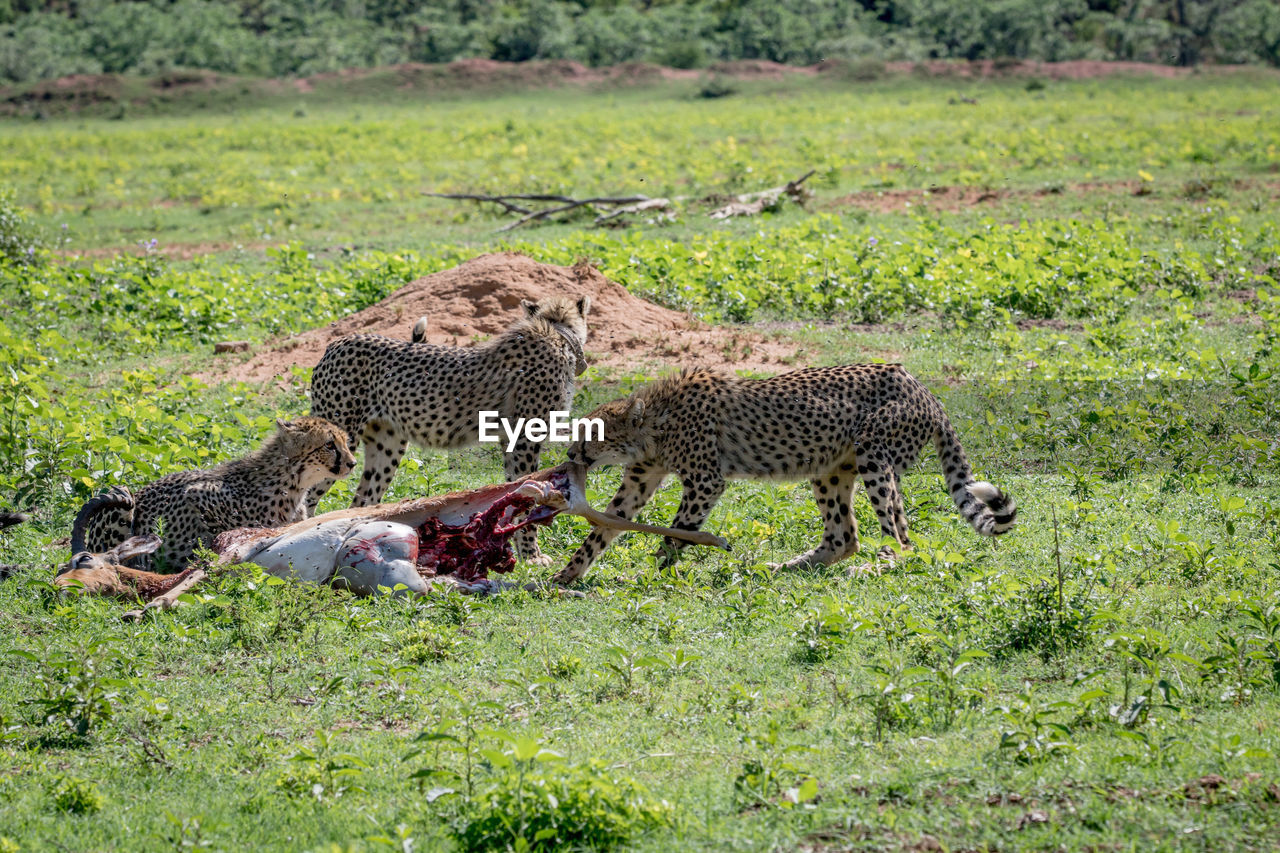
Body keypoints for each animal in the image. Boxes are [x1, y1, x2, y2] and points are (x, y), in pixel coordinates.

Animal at [77, 414, 358, 568]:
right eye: (329, 445)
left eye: (345, 442)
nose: (353, 463)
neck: (293, 481)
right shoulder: (196, 494)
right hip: (121, 504)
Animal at [309, 295, 588, 560]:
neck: (557, 332)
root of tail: (339, 342)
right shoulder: (525, 437)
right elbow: (528, 494)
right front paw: (532, 556)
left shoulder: (510, 440)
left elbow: (515, 490)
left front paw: (517, 550)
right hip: (338, 441)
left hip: (387, 444)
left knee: (362, 500)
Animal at [555, 361, 1013, 581]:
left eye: (591, 434)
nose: (572, 454)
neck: (656, 423)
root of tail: (922, 387)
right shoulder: (641, 478)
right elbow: (604, 527)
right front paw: (566, 575)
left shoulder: (706, 481)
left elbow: (678, 532)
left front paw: (656, 574)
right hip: (830, 468)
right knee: (844, 537)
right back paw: (781, 568)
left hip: (874, 457)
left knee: (901, 536)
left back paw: (877, 566)